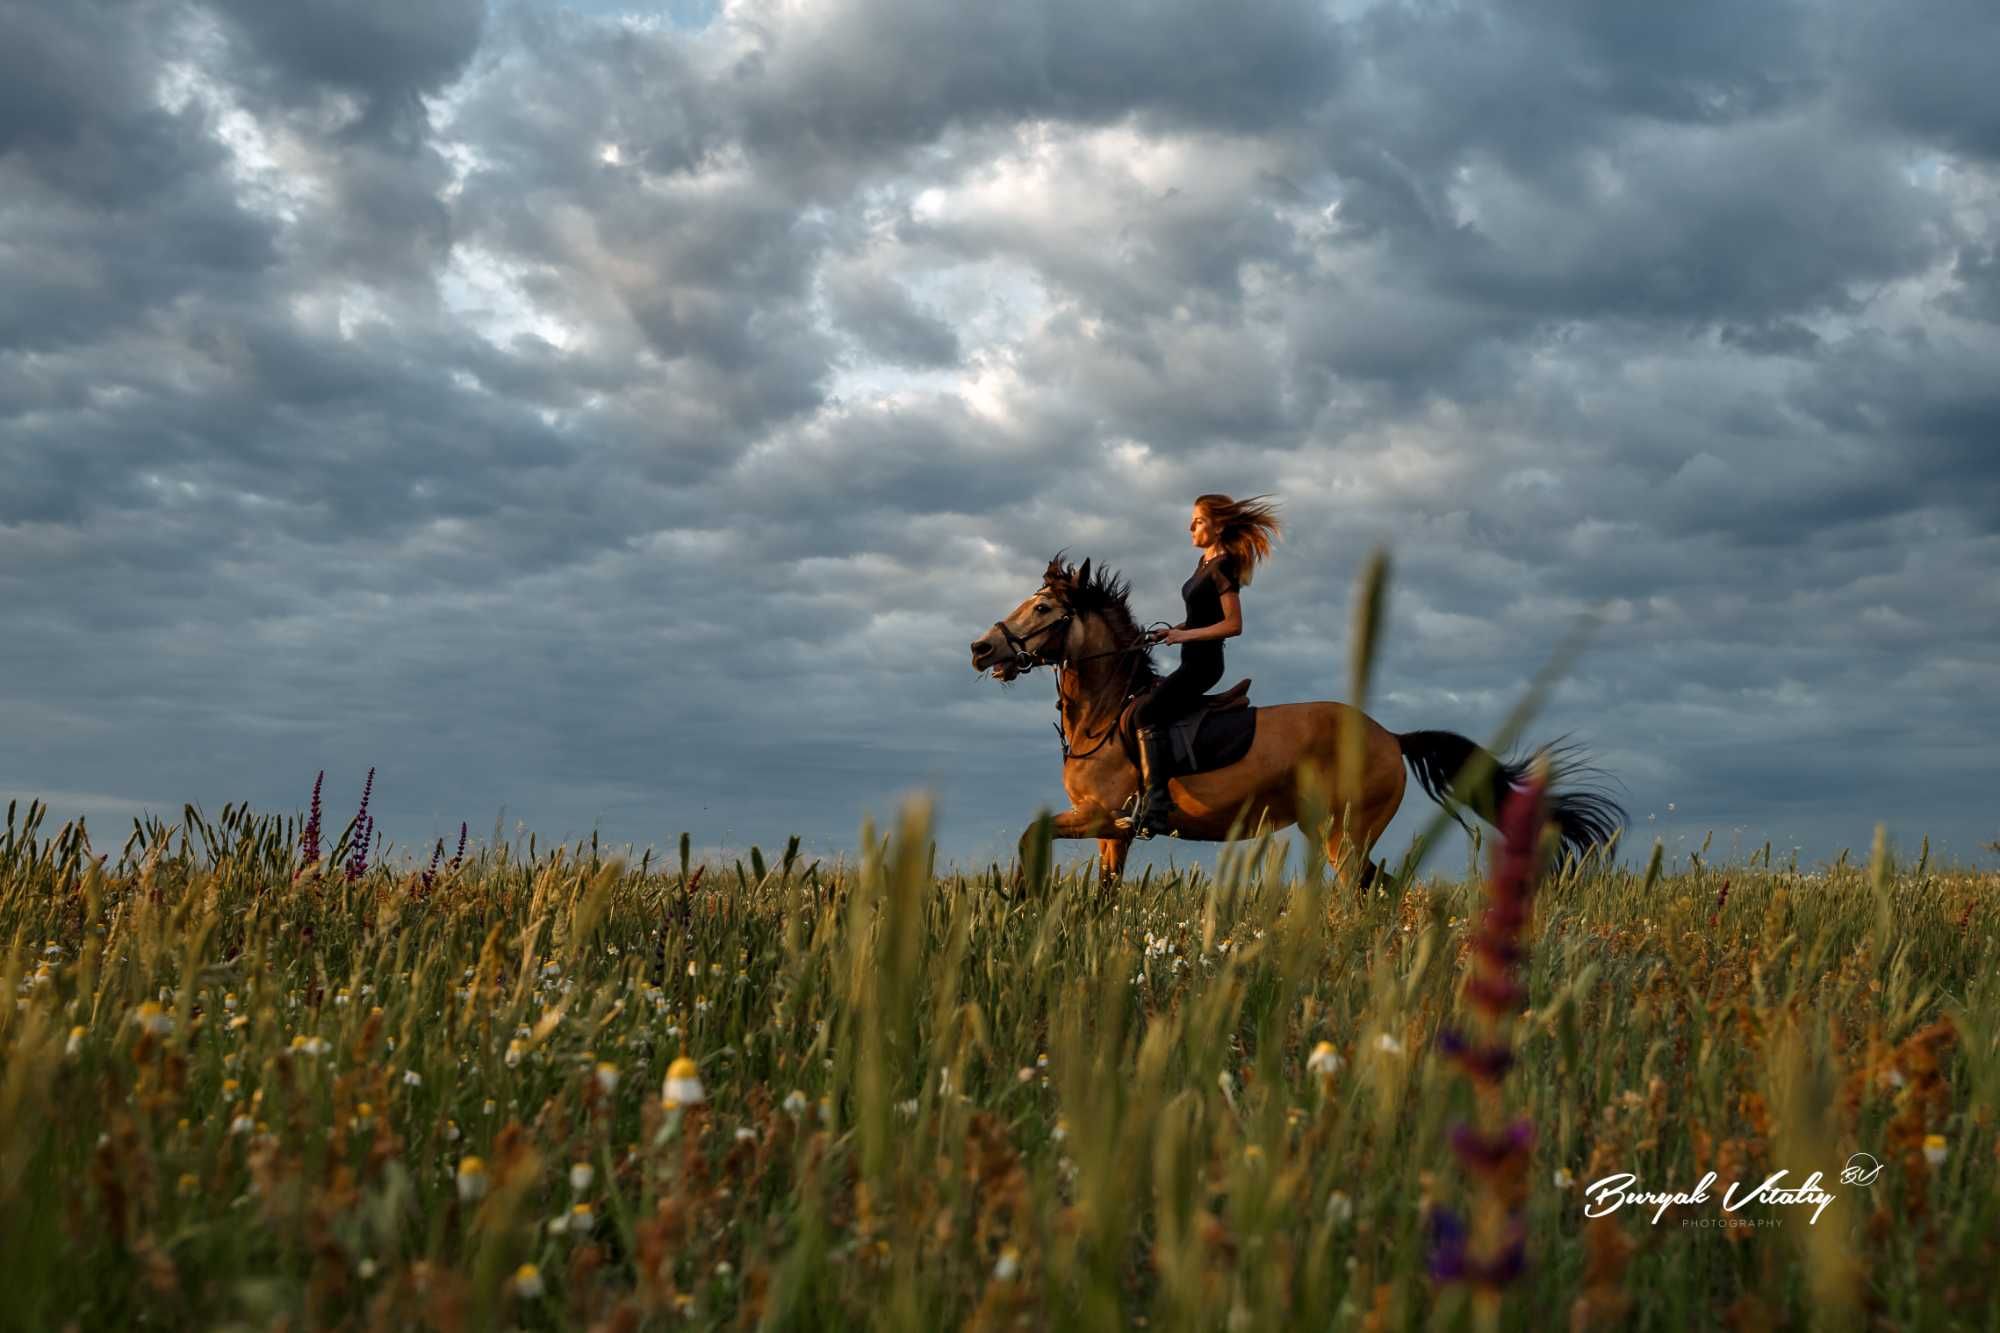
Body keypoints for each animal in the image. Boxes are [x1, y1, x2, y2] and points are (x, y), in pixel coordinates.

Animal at [964, 548, 1624, 892]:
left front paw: (1021, 895)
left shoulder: (1104, 816)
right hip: (1332, 831)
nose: (981, 648)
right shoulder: (1111, 831)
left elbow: (1031, 834)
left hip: (1345, 832)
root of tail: (1390, 737)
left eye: (1042, 608)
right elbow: (1102, 891)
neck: (1106, 715)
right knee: (1383, 887)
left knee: (1361, 892)